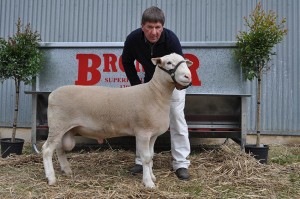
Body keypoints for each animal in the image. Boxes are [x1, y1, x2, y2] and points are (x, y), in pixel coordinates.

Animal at [41, 52, 192, 188]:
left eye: (184, 62)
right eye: (169, 63)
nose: (188, 76)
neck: (154, 93)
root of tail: (53, 94)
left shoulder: (153, 135)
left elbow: (151, 157)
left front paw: (152, 177)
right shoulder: (143, 133)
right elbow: (145, 158)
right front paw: (148, 183)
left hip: (64, 129)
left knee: (59, 148)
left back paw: (66, 170)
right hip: (57, 125)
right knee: (47, 150)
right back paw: (51, 178)